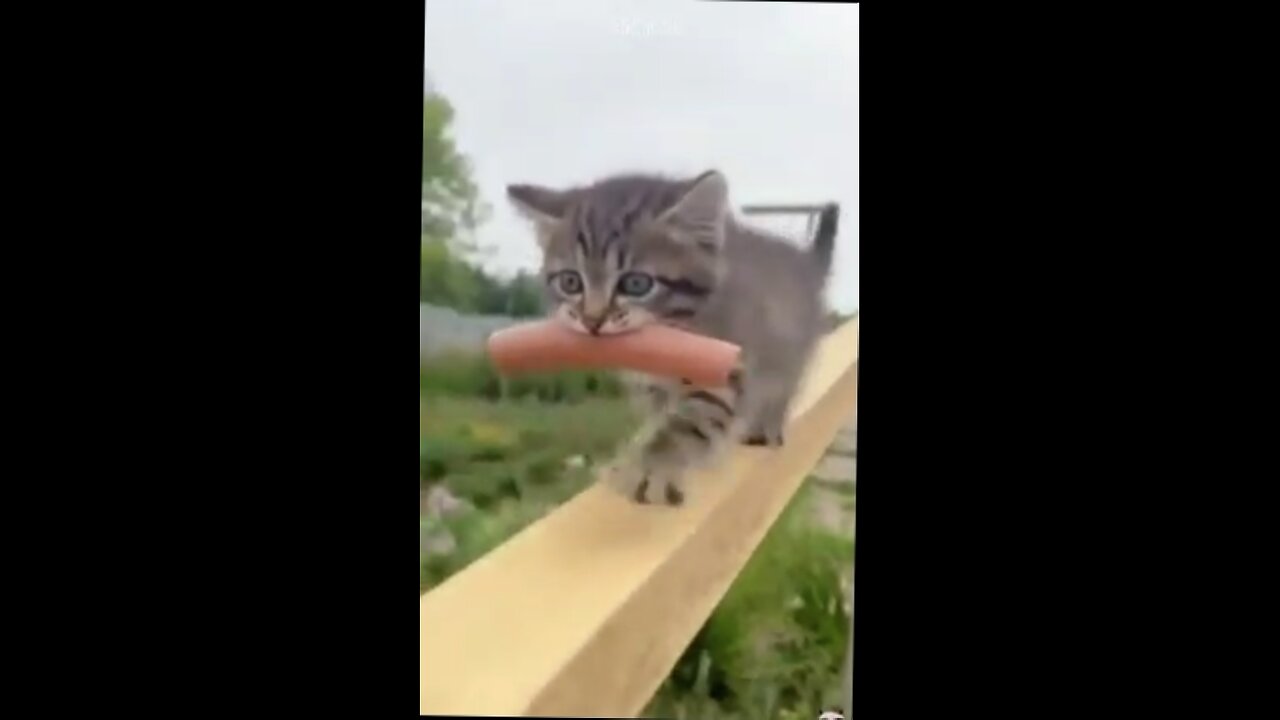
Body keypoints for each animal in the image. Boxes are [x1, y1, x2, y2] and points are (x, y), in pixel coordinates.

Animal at [504, 169, 844, 504]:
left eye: (636, 284)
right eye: (571, 282)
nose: (592, 320)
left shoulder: (730, 364)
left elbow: (691, 420)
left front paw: (651, 466)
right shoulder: (652, 388)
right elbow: (659, 415)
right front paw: (636, 450)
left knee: (781, 388)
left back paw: (766, 427)